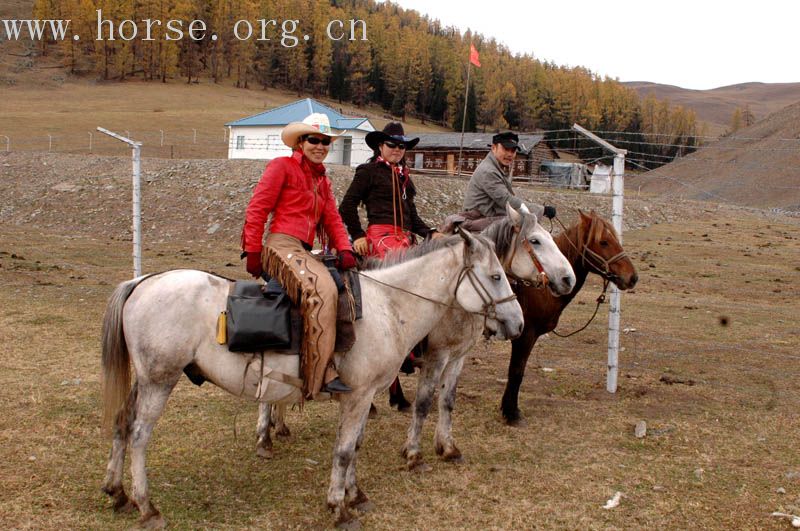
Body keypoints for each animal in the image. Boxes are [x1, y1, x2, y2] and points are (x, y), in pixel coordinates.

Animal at [100, 228, 524, 528]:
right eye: (495, 276)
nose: (517, 323)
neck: (388, 307)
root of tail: (142, 282)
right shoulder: (359, 395)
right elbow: (344, 450)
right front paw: (339, 507)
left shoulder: (365, 396)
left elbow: (355, 446)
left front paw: (355, 494)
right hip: (160, 380)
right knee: (139, 435)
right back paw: (147, 506)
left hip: (144, 381)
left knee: (121, 423)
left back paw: (117, 492)